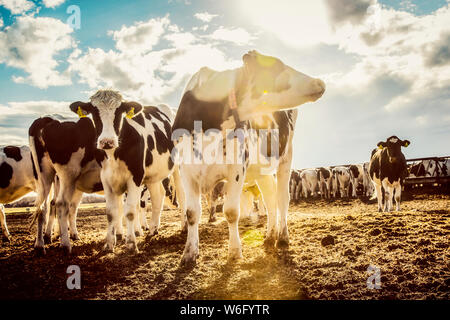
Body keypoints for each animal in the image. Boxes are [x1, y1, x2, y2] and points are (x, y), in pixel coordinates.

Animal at [71, 89, 184, 252]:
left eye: (119, 112)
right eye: (94, 112)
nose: (107, 141)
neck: (114, 155)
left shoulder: (136, 176)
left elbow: (130, 211)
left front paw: (131, 243)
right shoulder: (107, 178)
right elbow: (111, 212)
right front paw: (109, 244)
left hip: (178, 166)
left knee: (182, 195)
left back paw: (184, 226)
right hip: (153, 175)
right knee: (158, 197)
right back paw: (153, 230)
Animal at [171, 50, 324, 264]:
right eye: (278, 66)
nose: (320, 82)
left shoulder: (237, 167)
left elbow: (231, 211)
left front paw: (235, 251)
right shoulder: (186, 170)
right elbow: (192, 213)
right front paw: (189, 254)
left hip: (287, 155)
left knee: (282, 198)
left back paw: (282, 237)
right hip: (262, 170)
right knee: (270, 198)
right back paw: (270, 236)